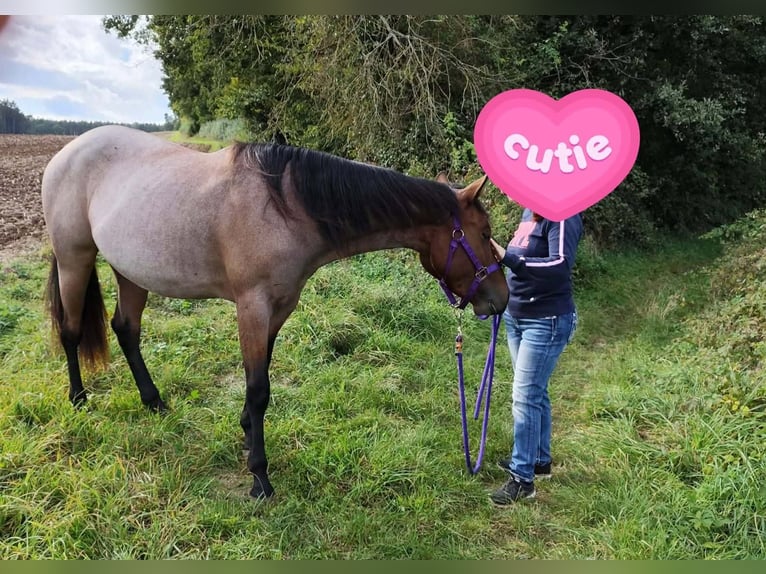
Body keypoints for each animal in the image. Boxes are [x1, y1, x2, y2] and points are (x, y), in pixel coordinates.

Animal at [41, 125, 509, 499]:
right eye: (484, 232)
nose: (501, 299)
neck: (285, 208)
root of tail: (66, 153)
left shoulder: (281, 307)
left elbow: (260, 377)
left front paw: (248, 435)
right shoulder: (253, 306)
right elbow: (258, 387)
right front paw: (259, 478)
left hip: (130, 271)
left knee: (126, 330)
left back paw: (154, 402)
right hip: (74, 259)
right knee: (70, 331)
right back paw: (79, 400)